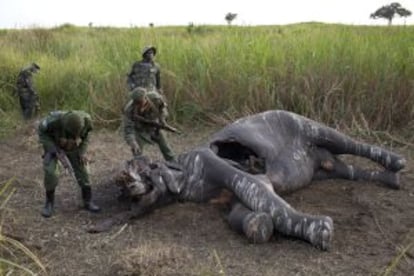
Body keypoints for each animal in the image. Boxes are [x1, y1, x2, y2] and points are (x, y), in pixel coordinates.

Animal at [90, 109, 404, 250]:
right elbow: (249, 217)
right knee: (350, 169)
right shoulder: (230, 197)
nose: (127, 185)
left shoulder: (210, 161)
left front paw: (319, 228)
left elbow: (267, 199)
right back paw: (390, 179)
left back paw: (397, 161)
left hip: (312, 128)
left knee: (351, 144)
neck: (184, 174)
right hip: (326, 168)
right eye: (122, 193)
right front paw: (257, 223)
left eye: (138, 170)